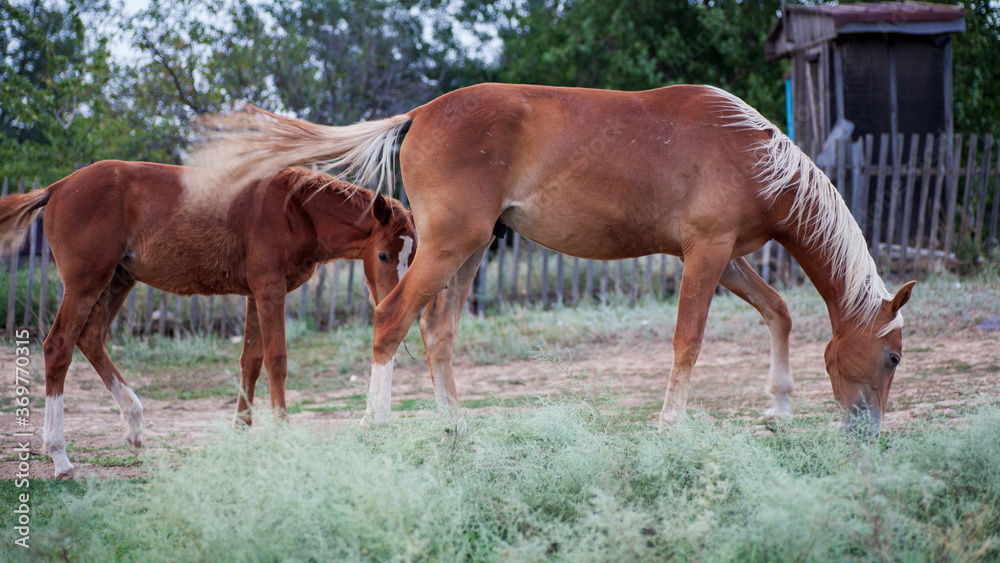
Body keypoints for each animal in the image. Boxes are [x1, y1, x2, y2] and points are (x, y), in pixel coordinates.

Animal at [0, 160, 415, 478]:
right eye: (383, 255)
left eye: (412, 255)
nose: (391, 303)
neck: (295, 211)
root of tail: (58, 187)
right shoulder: (270, 290)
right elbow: (277, 359)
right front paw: (282, 431)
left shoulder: (254, 294)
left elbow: (251, 360)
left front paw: (241, 428)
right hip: (86, 283)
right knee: (59, 346)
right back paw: (60, 457)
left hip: (118, 280)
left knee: (91, 339)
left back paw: (133, 424)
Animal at [188, 83, 916, 436]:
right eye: (893, 358)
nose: (869, 431)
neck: (750, 152)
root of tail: (420, 113)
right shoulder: (706, 255)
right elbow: (688, 339)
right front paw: (670, 421)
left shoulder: (727, 256)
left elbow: (780, 312)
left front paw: (780, 406)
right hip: (449, 247)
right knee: (393, 317)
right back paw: (376, 419)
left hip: (469, 251)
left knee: (437, 329)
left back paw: (454, 422)